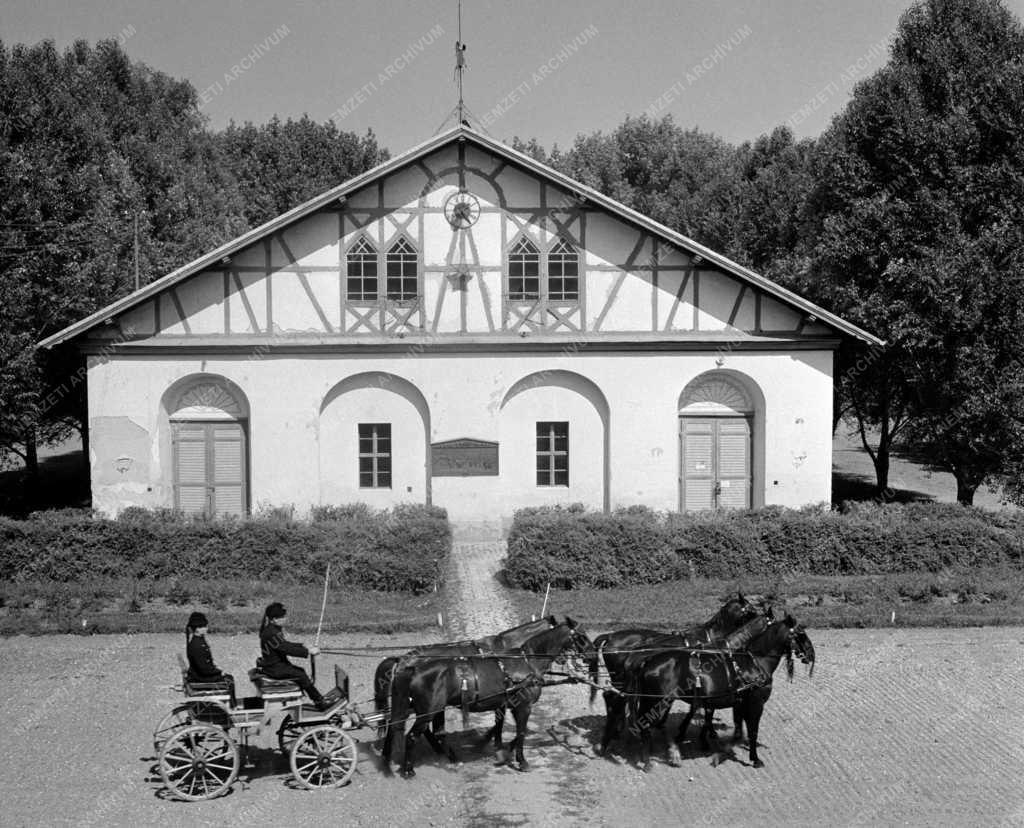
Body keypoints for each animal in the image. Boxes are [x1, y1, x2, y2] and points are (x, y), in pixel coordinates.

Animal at [385, 622, 593, 773]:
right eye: (582, 636)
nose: (592, 655)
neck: (527, 662)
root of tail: (413, 668)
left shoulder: (506, 705)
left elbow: (502, 728)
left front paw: (500, 752)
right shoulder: (524, 706)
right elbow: (521, 733)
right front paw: (521, 761)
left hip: (435, 710)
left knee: (434, 732)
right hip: (428, 711)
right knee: (412, 736)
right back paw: (409, 770)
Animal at [589, 589, 765, 753]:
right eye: (751, 609)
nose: (763, 618)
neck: (711, 640)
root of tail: (610, 637)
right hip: (621, 679)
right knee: (614, 699)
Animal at [622, 614, 815, 769]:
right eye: (801, 634)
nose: (812, 655)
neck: (755, 663)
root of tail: (646, 660)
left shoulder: (739, 703)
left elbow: (736, 727)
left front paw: (720, 750)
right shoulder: (755, 703)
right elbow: (752, 730)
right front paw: (755, 759)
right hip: (656, 701)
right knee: (646, 724)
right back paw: (652, 760)